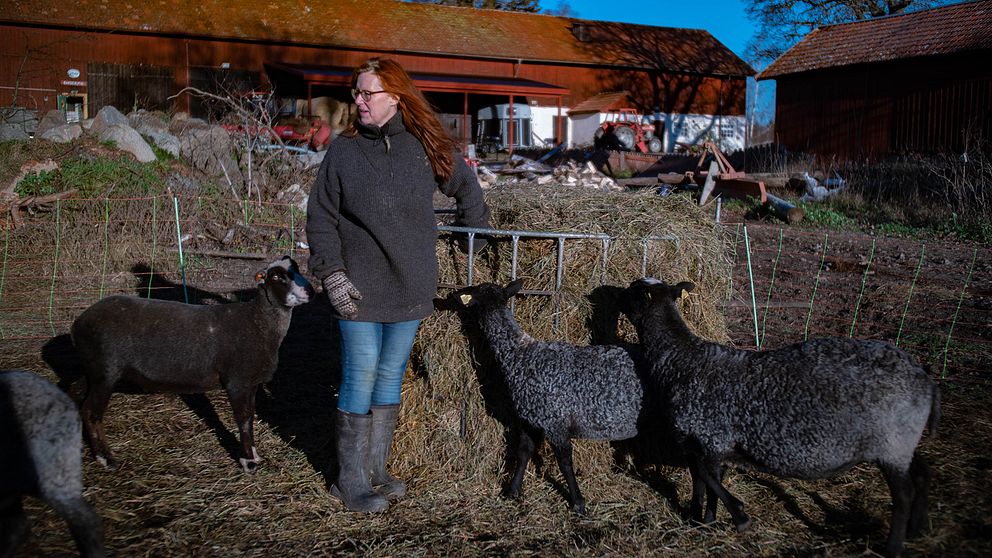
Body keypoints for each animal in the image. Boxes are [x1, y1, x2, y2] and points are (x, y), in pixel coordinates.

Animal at [71, 258, 312, 472]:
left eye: (297, 268)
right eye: (276, 276)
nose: (309, 291)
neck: (258, 322)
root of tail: (78, 323)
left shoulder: (251, 383)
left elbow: (250, 416)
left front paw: (253, 454)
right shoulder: (238, 382)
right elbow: (244, 420)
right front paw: (248, 462)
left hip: (90, 371)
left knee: (75, 398)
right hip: (105, 372)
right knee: (91, 412)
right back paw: (106, 458)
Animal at [450, 280, 644, 516]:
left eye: (475, 294)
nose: (454, 296)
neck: (520, 356)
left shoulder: (555, 421)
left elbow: (565, 462)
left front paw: (578, 502)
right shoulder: (528, 419)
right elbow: (523, 452)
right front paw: (512, 491)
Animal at [620, 278, 936, 556]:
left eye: (634, 291)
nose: (614, 293)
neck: (679, 359)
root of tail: (925, 380)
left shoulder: (710, 437)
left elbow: (707, 477)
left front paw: (738, 516)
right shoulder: (702, 442)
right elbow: (704, 481)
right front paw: (705, 520)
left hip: (892, 444)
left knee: (903, 496)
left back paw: (894, 546)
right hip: (901, 441)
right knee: (922, 471)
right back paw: (917, 529)